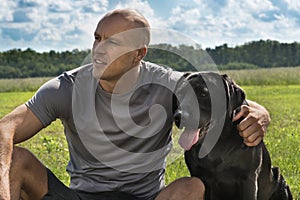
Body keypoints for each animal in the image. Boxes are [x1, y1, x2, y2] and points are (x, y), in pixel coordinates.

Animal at [175, 72, 292, 200]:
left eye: (204, 94)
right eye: (180, 93)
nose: (178, 116)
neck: (218, 142)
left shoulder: (248, 178)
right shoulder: (201, 178)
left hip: (279, 178)